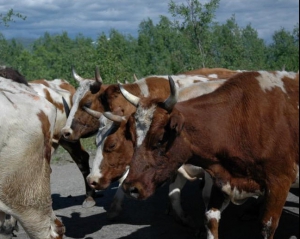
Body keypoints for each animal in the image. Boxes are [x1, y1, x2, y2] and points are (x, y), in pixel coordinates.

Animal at [120, 71, 298, 239]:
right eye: (133, 137)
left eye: (159, 139)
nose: (130, 188)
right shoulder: (223, 178)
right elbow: (210, 217)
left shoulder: (279, 183)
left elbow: (267, 226)